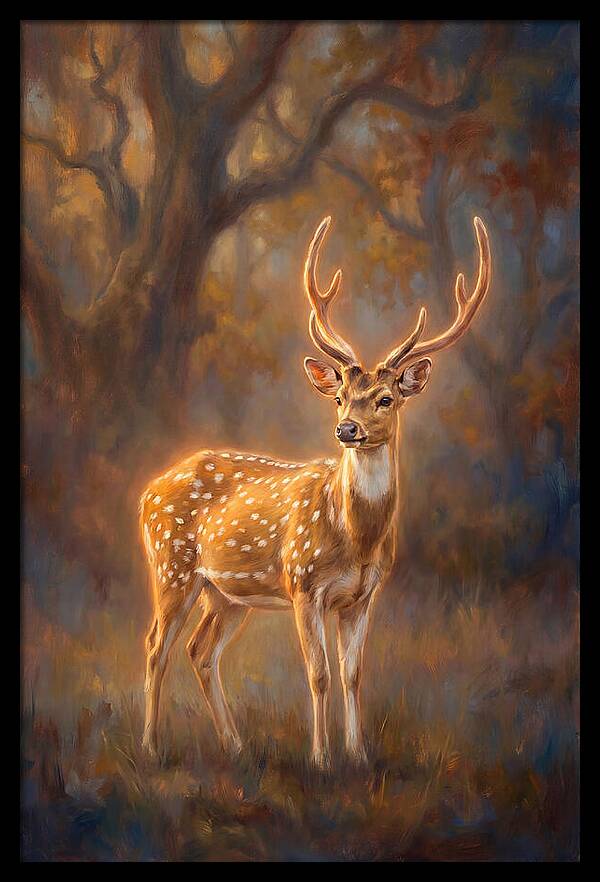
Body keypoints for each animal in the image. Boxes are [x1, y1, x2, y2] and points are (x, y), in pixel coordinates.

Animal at [139, 214, 491, 767]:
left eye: (386, 398)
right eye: (341, 396)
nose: (347, 429)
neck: (356, 538)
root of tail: (147, 491)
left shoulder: (363, 596)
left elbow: (353, 674)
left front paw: (359, 755)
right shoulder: (303, 584)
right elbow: (319, 674)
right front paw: (321, 759)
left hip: (226, 593)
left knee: (200, 651)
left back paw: (235, 745)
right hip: (170, 564)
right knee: (157, 646)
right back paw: (152, 747)